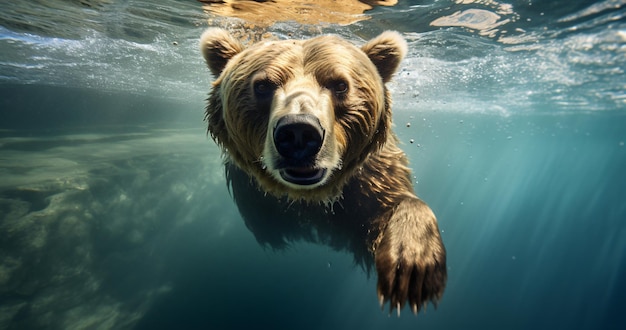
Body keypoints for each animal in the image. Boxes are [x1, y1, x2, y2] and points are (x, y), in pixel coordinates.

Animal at [199, 28, 444, 314]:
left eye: (340, 85)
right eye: (262, 85)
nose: (298, 132)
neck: (310, 197)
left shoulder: (370, 179)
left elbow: (395, 201)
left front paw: (413, 269)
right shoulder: (254, 196)